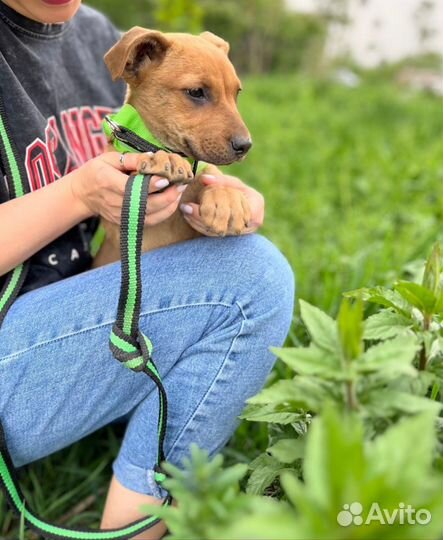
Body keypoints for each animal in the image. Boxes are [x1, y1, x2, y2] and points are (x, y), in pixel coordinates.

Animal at [93, 27, 253, 268]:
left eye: (236, 93)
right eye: (196, 91)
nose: (245, 146)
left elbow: (211, 175)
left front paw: (227, 197)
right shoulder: (125, 227)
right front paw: (165, 159)